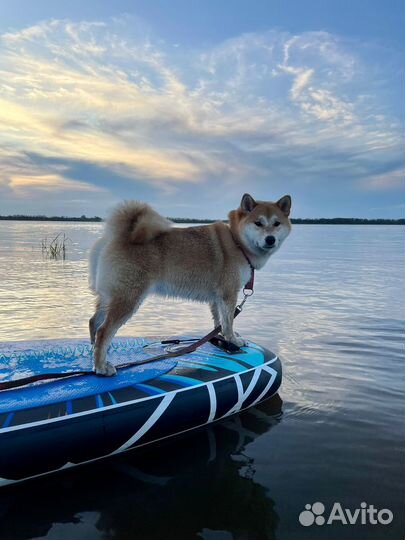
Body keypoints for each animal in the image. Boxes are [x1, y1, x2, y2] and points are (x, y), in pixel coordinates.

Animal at [88, 194, 290, 376]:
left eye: (277, 223)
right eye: (258, 223)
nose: (270, 239)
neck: (237, 242)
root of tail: (116, 236)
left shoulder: (217, 297)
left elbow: (219, 321)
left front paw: (221, 338)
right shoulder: (229, 294)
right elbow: (229, 322)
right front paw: (233, 340)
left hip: (109, 297)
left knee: (94, 323)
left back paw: (94, 355)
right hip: (129, 298)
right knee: (104, 331)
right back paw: (101, 367)